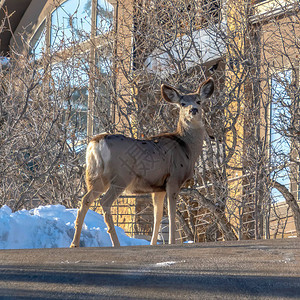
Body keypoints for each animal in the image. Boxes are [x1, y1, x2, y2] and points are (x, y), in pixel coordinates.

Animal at [70, 77, 214, 246]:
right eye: (183, 103)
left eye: (198, 101)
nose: (194, 110)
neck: (186, 147)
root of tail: (96, 143)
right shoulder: (174, 179)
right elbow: (172, 215)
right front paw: (172, 242)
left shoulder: (158, 187)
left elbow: (158, 216)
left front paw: (153, 244)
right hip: (121, 176)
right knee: (105, 202)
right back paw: (116, 243)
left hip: (96, 177)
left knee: (85, 200)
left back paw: (74, 243)